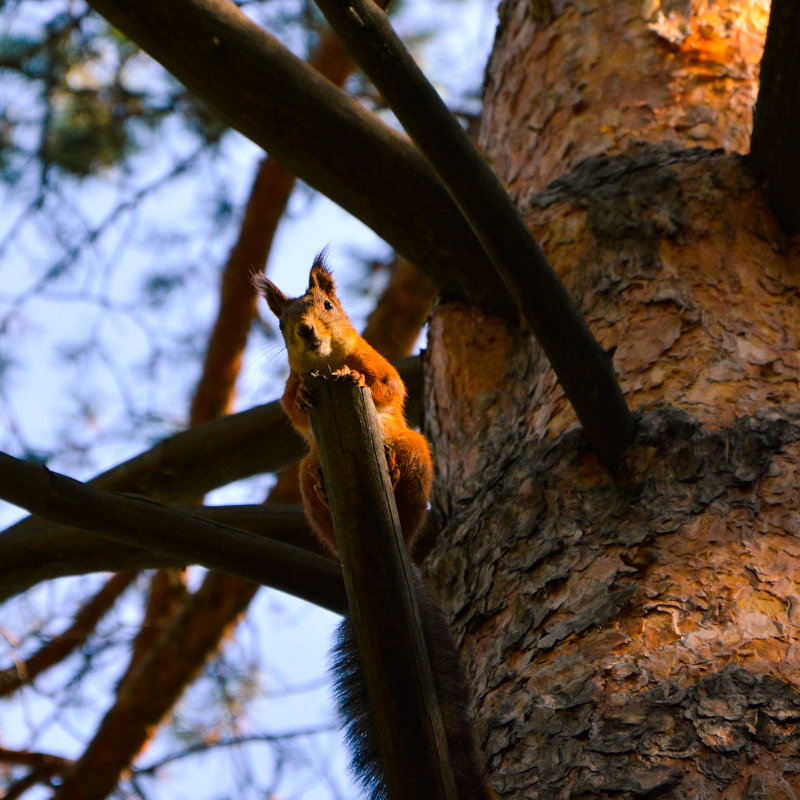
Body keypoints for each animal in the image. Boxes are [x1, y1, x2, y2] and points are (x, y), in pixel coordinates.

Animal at [256, 253, 432, 552]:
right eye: (281, 324)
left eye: (327, 305)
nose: (305, 329)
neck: (326, 362)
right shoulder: (292, 382)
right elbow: (293, 412)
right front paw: (302, 396)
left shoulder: (376, 362)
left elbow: (392, 387)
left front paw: (356, 376)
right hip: (308, 470)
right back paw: (325, 492)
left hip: (412, 450)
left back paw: (393, 473)